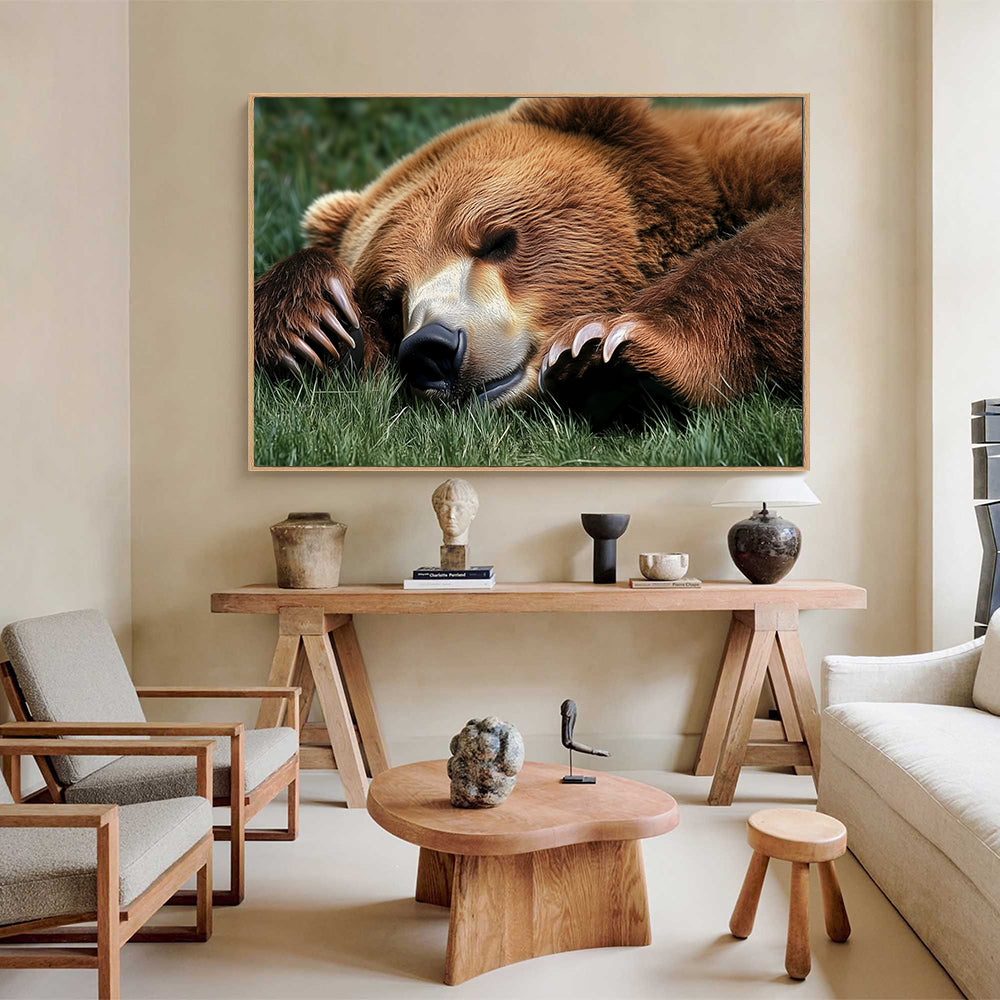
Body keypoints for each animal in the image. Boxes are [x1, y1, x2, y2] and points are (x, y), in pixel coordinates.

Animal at [253, 97, 803, 421]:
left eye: (497, 240)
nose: (432, 347)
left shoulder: (751, 158)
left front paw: (606, 345)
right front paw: (316, 327)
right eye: (389, 300)